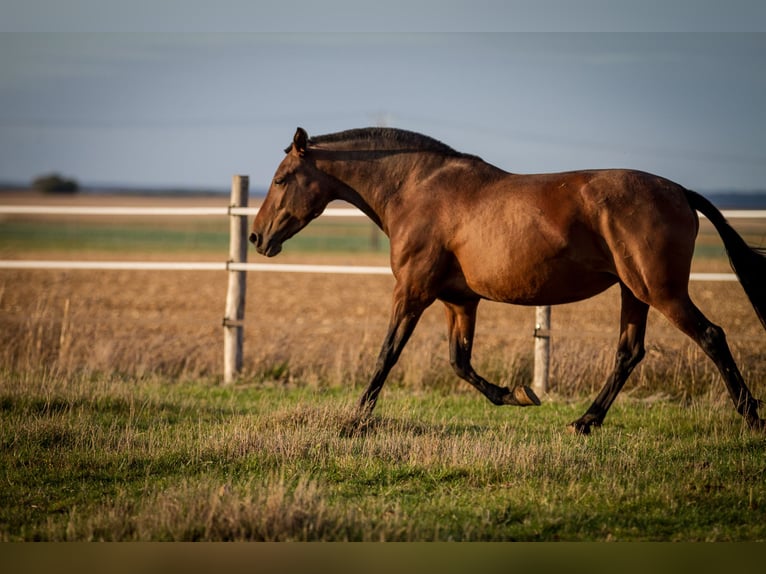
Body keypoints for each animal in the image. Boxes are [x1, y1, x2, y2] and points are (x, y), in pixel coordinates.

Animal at [249, 125, 764, 432]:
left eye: (281, 178)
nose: (256, 237)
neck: (415, 190)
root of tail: (680, 191)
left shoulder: (412, 291)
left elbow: (387, 355)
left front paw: (354, 422)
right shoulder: (459, 301)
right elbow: (459, 362)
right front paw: (518, 394)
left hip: (661, 291)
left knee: (711, 336)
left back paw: (751, 417)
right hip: (634, 292)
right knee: (629, 353)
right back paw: (586, 421)